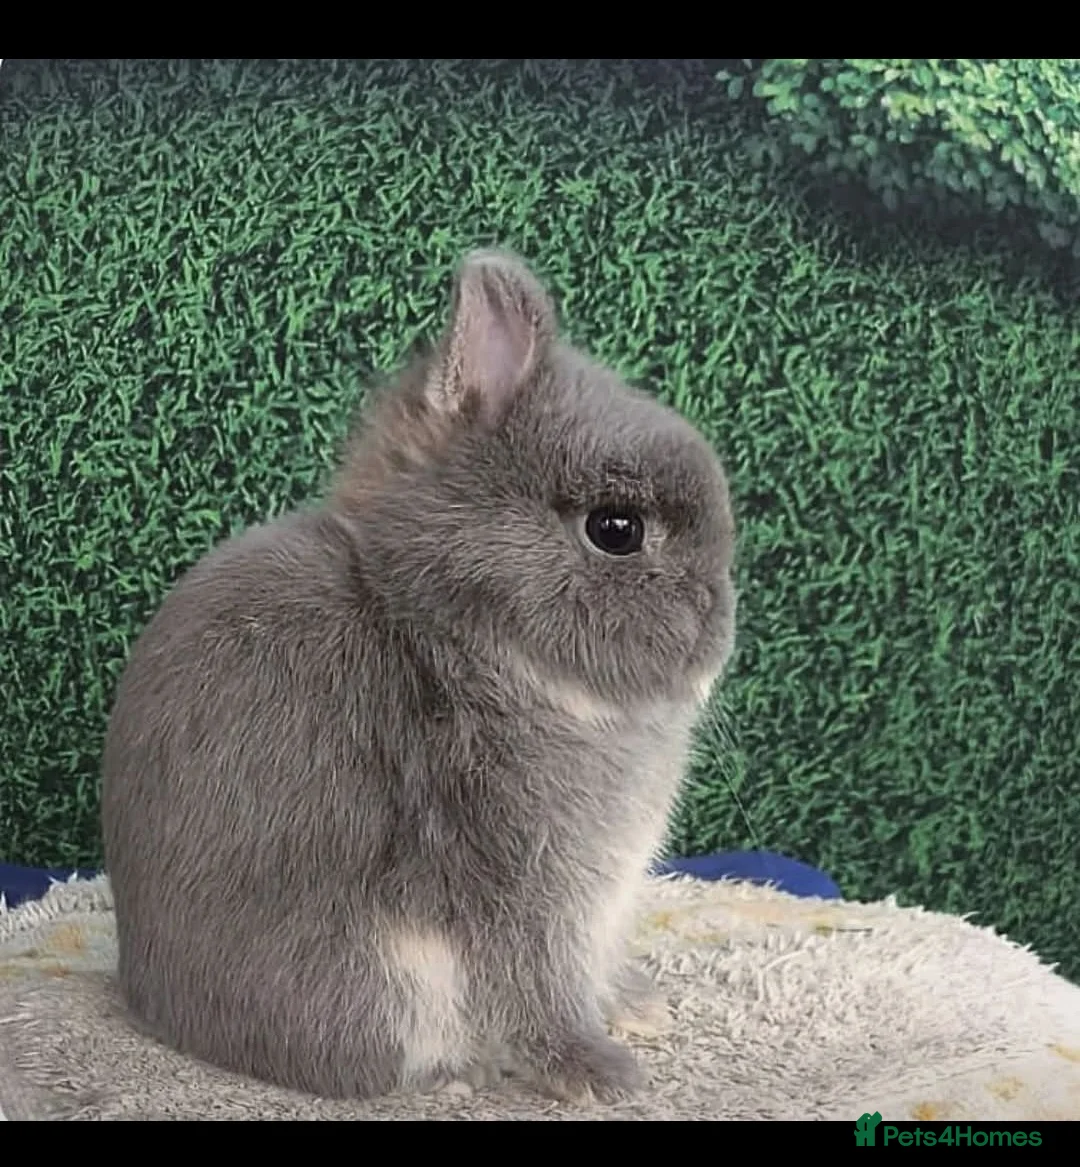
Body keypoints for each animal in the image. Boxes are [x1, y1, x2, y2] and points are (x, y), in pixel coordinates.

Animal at [100, 248, 737, 1105]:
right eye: (616, 529)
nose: (717, 627)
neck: (463, 638)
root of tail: (145, 998)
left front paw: (637, 1009)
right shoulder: (519, 883)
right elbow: (537, 987)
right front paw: (598, 1073)